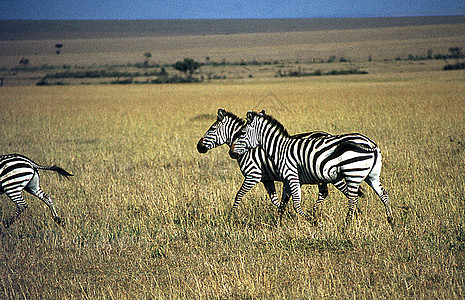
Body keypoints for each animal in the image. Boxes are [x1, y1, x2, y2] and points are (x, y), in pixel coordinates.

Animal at [196, 108, 362, 218]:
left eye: (212, 129)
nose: (198, 147)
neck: (247, 148)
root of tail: (328, 134)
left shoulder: (253, 175)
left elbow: (238, 195)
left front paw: (232, 216)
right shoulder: (267, 179)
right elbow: (276, 200)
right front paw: (284, 213)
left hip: (331, 175)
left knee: (347, 191)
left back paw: (356, 212)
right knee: (325, 192)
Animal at [228, 110, 392, 227]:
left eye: (241, 133)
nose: (231, 152)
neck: (279, 149)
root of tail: (371, 144)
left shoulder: (291, 176)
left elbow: (295, 204)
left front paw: (312, 221)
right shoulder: (287, 180)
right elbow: (283, 203)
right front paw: (278, 224)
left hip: (353, 174)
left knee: (353, 198)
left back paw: (347, 224)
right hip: (372, 176)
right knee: (383, 195)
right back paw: (391, 220)